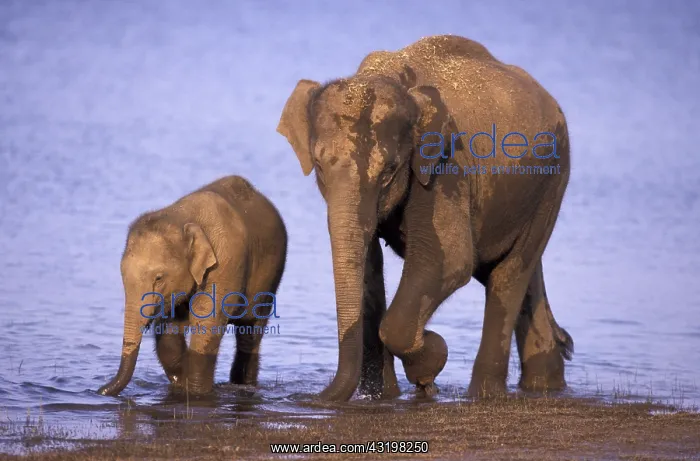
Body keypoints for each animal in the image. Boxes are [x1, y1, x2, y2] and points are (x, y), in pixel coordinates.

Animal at [97, 175, 287, 397]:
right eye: (122, 275)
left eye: (159, 278)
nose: (99, 391)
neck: (182, 217)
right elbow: (168, 331)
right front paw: (182, 382)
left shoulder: (225, 263)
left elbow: (206, 323)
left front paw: (196, 392)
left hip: (271, 276)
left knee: (250, 332)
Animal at [276, 34, 574, 401]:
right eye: (318, 166)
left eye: (390, 171)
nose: (308, 398)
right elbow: (370, 267)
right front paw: (384, 395)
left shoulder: (446, 166)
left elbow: (451, 260)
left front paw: (430, 362)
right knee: (521, 272)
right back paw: (545, 384)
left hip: (553, 179)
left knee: (509, 274)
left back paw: (484, 394)